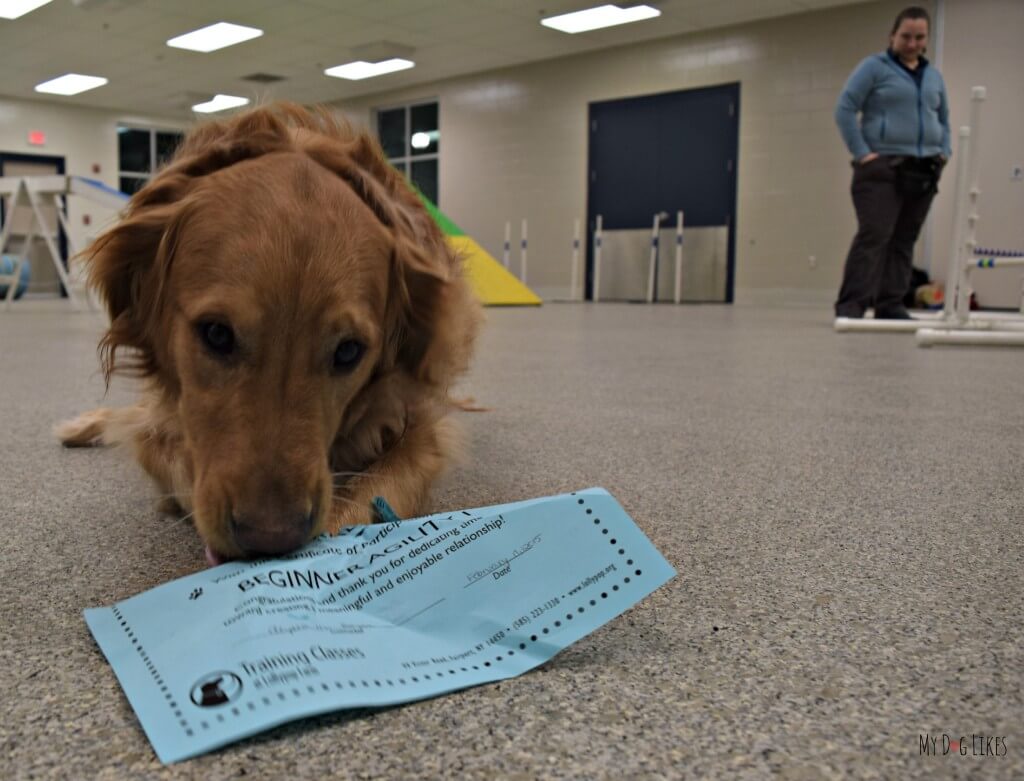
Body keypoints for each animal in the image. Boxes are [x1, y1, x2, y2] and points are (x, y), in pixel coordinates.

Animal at [58, 105, 481, 569]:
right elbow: (162, 444)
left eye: (349, 351)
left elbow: (370, 494)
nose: (272, 537)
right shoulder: (165, 418)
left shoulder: (418, 426)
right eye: (217, 334)